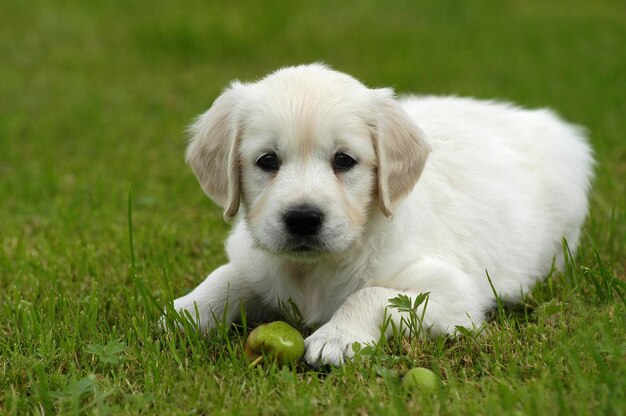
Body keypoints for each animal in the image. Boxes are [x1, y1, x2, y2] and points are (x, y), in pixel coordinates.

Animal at [169, 63, 588, 366]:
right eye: (267, 161)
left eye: (344, 160)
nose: (302, 218)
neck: (315, 270)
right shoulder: (255, 262)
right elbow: (226, 277)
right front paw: (183, 312)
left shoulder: (455, 292)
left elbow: (370, 294)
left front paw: (336, 337)